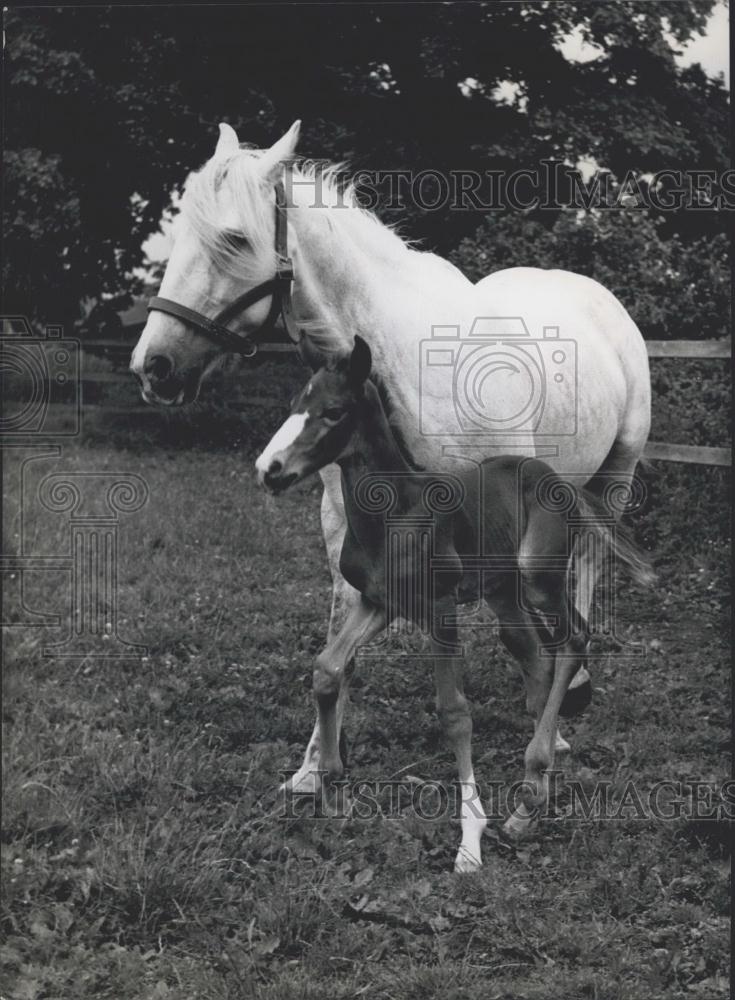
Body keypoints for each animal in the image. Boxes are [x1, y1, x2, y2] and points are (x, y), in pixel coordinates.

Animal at [131, 121, 648, 844]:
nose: (153, 366)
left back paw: (568, 692)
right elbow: (338, 646)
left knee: (587, 569)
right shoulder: (350, 527)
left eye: (233, 238)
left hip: (611, 479)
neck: (402, 366)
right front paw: (313, 769)